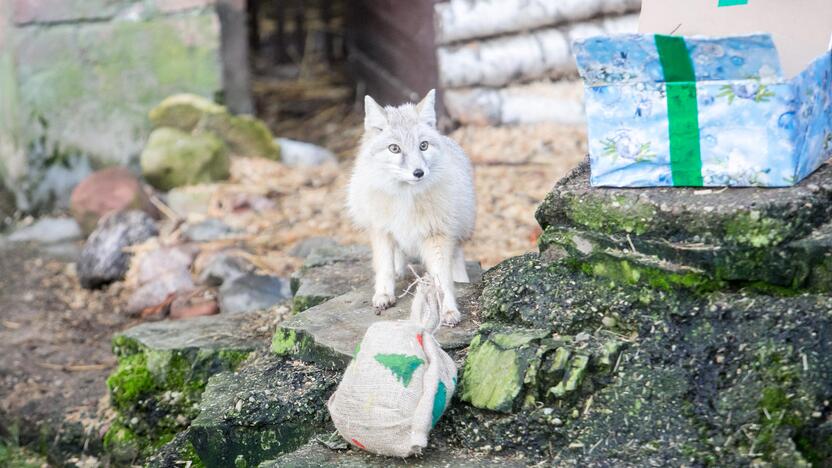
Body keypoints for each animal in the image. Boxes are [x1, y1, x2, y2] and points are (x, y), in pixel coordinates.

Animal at [344, 90, 474, 326]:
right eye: (394, 149)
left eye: (423, 146)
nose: (419, 173)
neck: (406, 198)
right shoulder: (381, 230)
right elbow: (385, 267)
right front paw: (384, 294)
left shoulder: (437, 234)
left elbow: (442, 279)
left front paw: (449, 308)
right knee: (399, 255)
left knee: (457, 257)